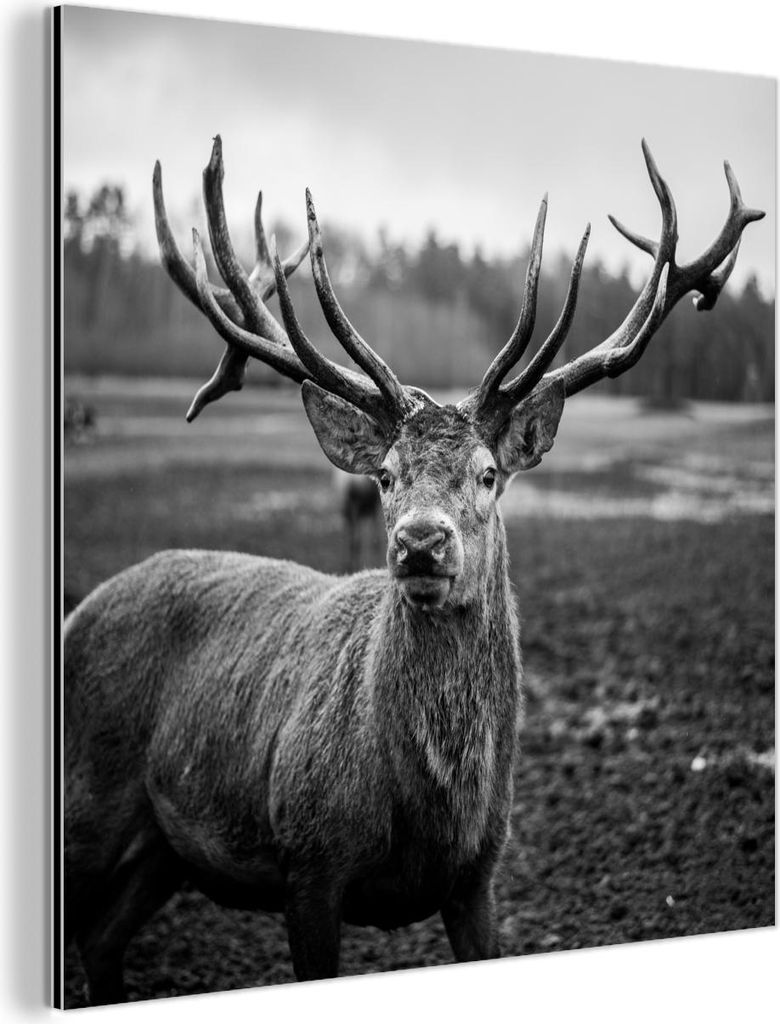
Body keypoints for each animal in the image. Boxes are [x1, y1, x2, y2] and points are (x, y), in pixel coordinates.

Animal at [62, 135, 763, 1004]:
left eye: (488, 473)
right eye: (387, 474)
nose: (421, 542)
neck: (430, 814)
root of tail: (77, 612)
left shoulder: (479, 879)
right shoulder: (309, 863)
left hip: (163, 849)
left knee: (100, 937)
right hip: (87, 800)